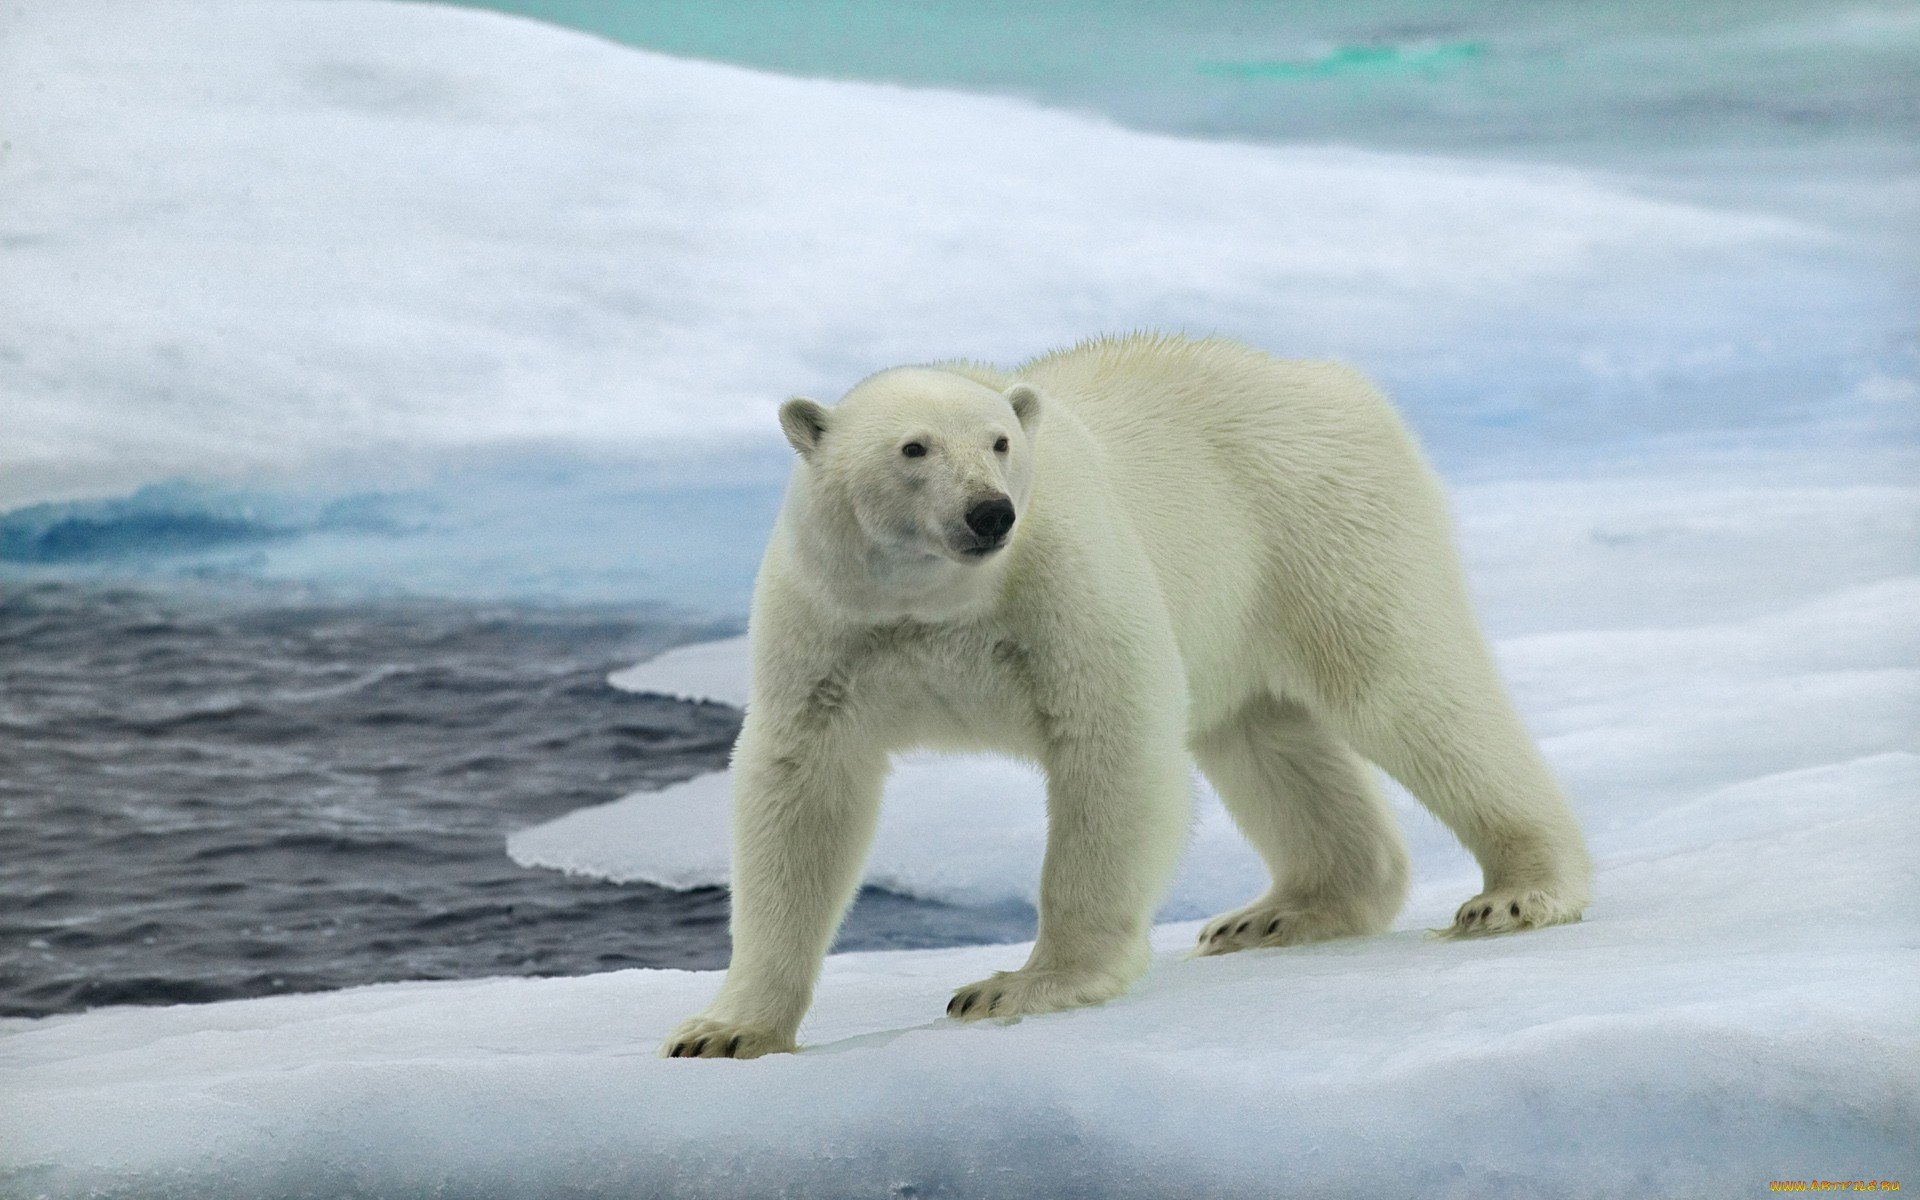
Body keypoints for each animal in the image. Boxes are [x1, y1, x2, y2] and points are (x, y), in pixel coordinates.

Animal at [663, 333, 1590, 1059]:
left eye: (1000, 442)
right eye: (913, 448)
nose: (989, 514)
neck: (937, 605)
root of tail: (1330, 379)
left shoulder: (1062, 580)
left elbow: (1113, 742)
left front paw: (1017, 986)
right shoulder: (832, 629)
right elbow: (801, 792)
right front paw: (723, 1031)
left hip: (1320, 525)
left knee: (1407, 689)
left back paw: (1517, 891)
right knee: (1265, 739)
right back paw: (1278, 913)